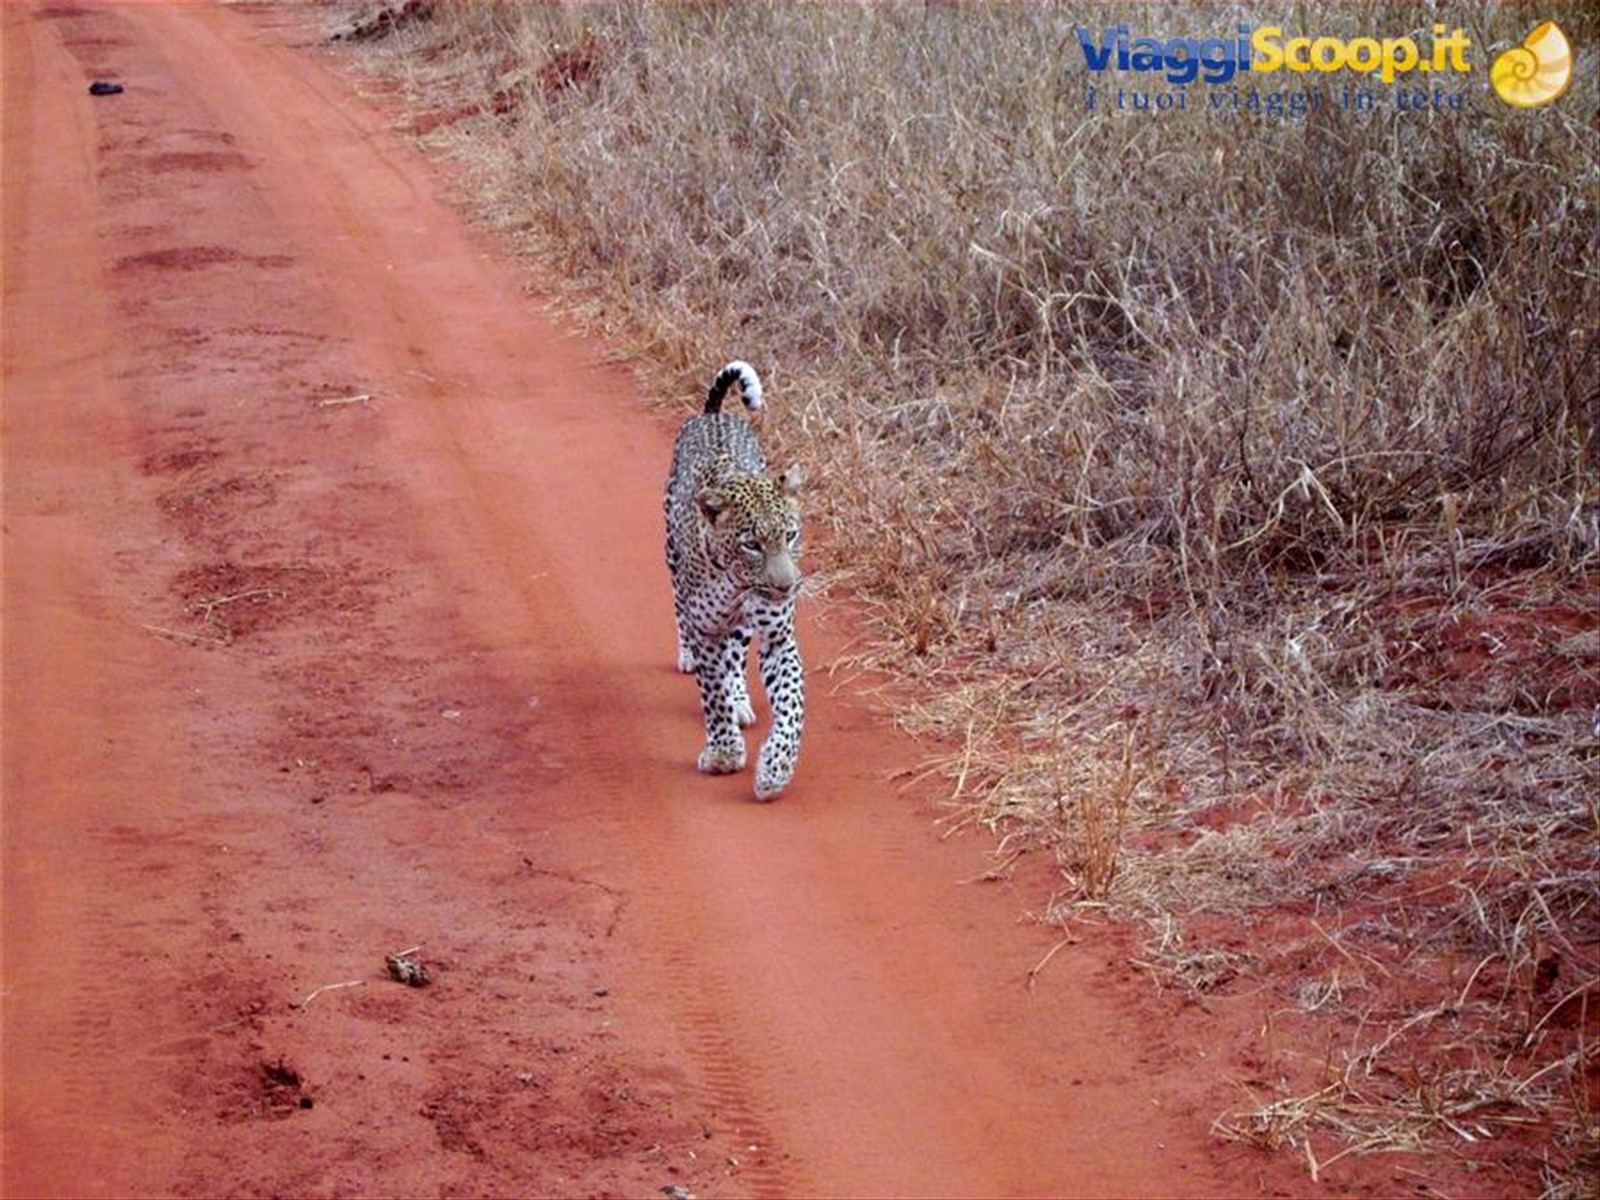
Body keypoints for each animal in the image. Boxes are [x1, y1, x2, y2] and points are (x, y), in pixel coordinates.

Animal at [664, 360, 804, 801]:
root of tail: (713, 414)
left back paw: (741, 698)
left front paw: (775, 768)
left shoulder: (778, 636)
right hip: (670, 556)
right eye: (751, 545)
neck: (736, 583)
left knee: (736, 655)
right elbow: (712, 692)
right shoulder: (707, 628)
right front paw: (724, 753)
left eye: (790, 535)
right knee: (680, 609)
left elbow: (792, 705)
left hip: (743, 628)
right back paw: (688, 656)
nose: (787, 586)